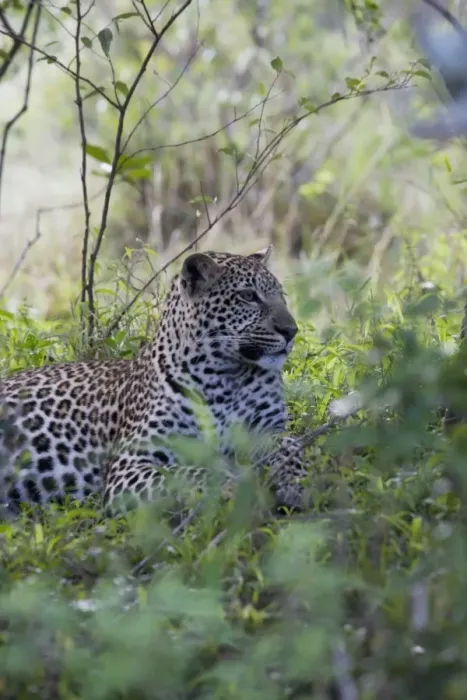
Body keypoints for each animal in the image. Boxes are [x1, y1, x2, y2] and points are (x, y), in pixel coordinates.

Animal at [0, 246, 308, 515]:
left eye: (281, 295)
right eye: (248, 296)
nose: (291, 330)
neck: (225, 376)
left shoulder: (267, 429)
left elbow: (292, 446)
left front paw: (296, 483)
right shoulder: (130, 463)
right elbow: (186, 474)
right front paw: (232, 486)